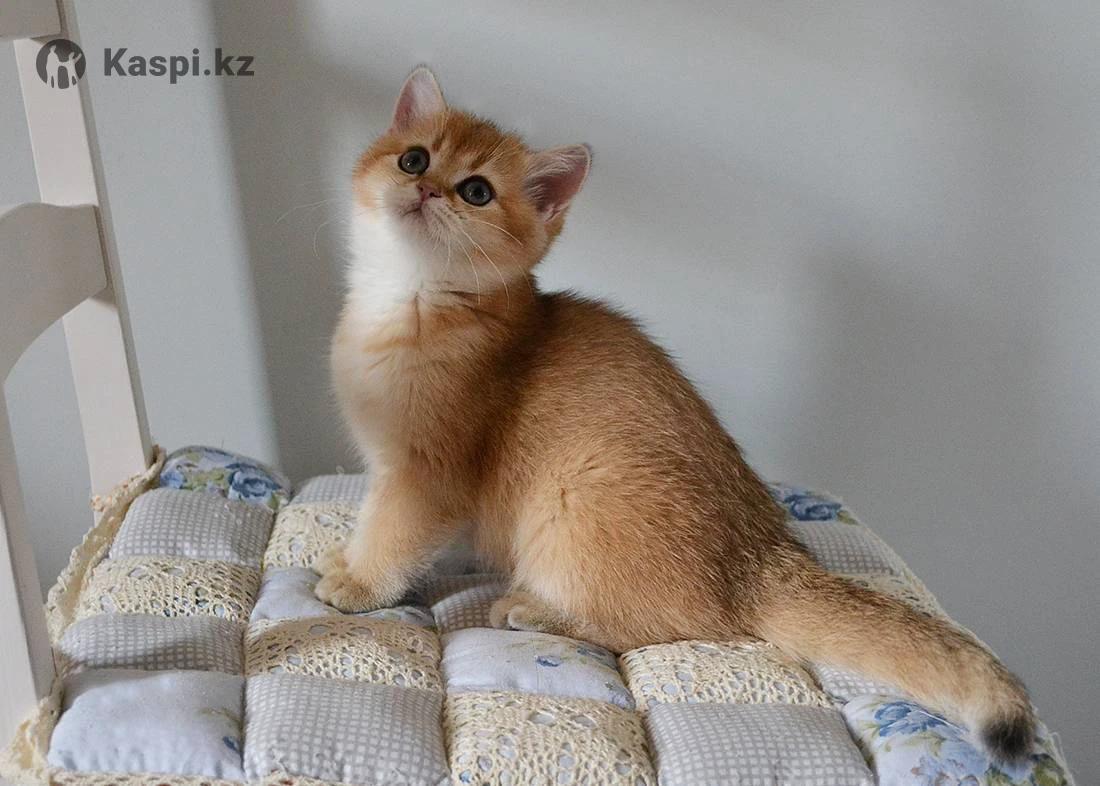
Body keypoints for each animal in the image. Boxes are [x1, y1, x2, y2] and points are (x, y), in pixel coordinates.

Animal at [319, 66, 1036, 762]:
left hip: (575, 503)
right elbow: (381, 520)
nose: (427, 189)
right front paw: (353, 558)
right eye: (414, 158)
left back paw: (535, 610)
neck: (410, 301)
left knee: (670, 628)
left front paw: (359, 583)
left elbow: (394, 533)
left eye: (476, 191)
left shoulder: (426, 475)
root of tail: (763, 560)